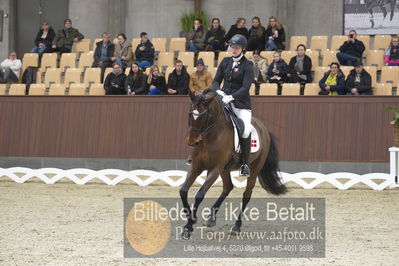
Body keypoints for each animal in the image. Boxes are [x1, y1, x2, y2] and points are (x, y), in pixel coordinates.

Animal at [179, 88, 288, 238]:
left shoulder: (215, 169)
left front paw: (190, 225)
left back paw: (236, 226)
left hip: (253, 170)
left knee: (246, 195)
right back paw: (211, 218)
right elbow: (183, 191)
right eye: (190, 113)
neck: (210, 136)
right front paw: (190, 221)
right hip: (225, 169)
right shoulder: (196, 166)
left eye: (204, 115)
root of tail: (264, 130)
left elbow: (199, 195)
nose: (192, 141)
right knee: (228, 187)